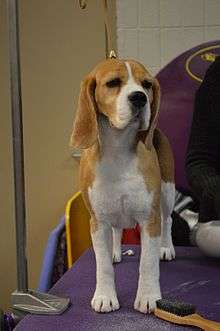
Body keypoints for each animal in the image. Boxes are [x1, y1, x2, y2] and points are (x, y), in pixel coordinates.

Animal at [70, 58, 175, 316]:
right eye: (113, 83)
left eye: (147, 84)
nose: (140, 98)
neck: (118, 149)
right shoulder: (98, 221)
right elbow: (103, 265)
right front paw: (105, 296)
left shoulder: (149, 219)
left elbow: (147, 263)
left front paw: (148, 297)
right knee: (117, 231)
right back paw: (115, 251)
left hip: (167, 192)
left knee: (168, 220)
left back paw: (166, 248)